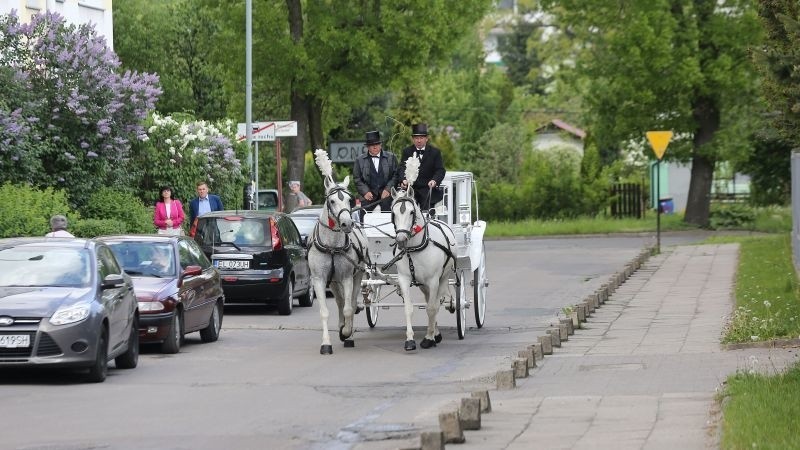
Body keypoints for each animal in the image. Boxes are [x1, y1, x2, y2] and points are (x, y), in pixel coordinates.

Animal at [308, 173, 370, 356]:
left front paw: (346, 333)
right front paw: (326, 344)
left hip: (357, 275)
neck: (332, 246)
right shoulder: (319, 279)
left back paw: (347, 334)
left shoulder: (347, 277)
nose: (347, 224)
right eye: (332, 201)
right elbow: (325, 312)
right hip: (334, 282)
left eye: (350, 200)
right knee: (340, 301)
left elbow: (349, 309)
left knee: (351, 302)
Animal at [388, 186, 456, 352]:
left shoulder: (433, 281)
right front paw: (410, 340)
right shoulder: (404, 279)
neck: (415, 248)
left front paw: (428, 339)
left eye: (411, 212)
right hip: (423, 285)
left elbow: (431, 308)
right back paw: (436, 333)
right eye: (393, 213)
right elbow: (409, 308)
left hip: (443, 278)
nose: (401, 240)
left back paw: (433, 335)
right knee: (429, 300)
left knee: (435, 304)